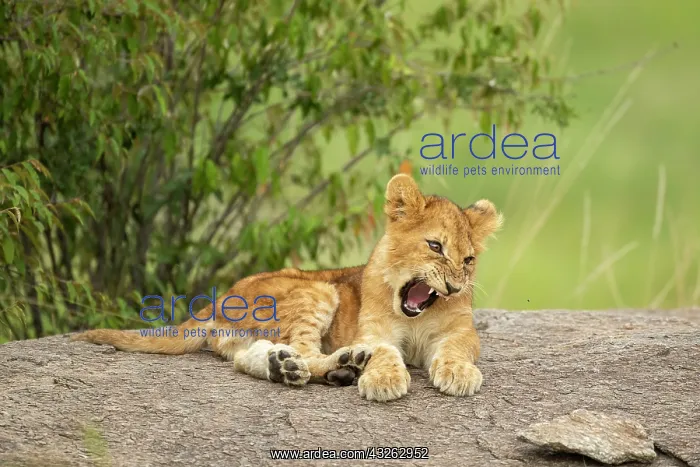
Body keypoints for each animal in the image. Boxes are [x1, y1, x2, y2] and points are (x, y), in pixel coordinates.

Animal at [72, 174, 503, 402]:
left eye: (468, 260)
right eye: (435, 246)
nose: (453, 286)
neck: (412, 313)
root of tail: (218, 300)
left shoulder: (461, 332)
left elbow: (455, 349)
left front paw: (458, 374)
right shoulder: (374, 330)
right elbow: (383, 350)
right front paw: (382, 379)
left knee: (252, 356)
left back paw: (290, 368)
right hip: (319, 290)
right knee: (306, 351)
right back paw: (344, 363)